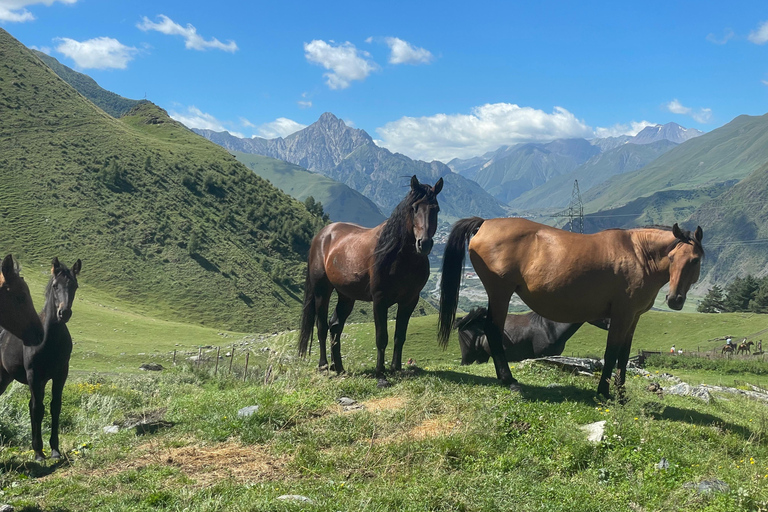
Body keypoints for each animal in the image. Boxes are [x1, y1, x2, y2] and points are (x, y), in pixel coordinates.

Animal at [0, 258, 81, 462]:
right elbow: (37, 409)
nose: (64, 313)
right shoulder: (34, 376)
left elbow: (54, 407)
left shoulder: (60, 374)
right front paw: (38, 452)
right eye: (55, 286)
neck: (50, 339)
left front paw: (54, 450)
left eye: (74, 286)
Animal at [300, 176, 444, 384]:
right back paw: (324, 365)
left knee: (335, 326)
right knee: (321, 326)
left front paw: (396, 368)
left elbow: (400, 336)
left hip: (346, 296)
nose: (423, 244)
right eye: (414, 207)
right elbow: (381, 337)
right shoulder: (379, 300)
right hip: (322, 291)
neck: (399, 257)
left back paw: (339, 367)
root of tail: (323, 234)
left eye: (436, 209)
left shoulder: (410, 300)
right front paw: (380, 374)